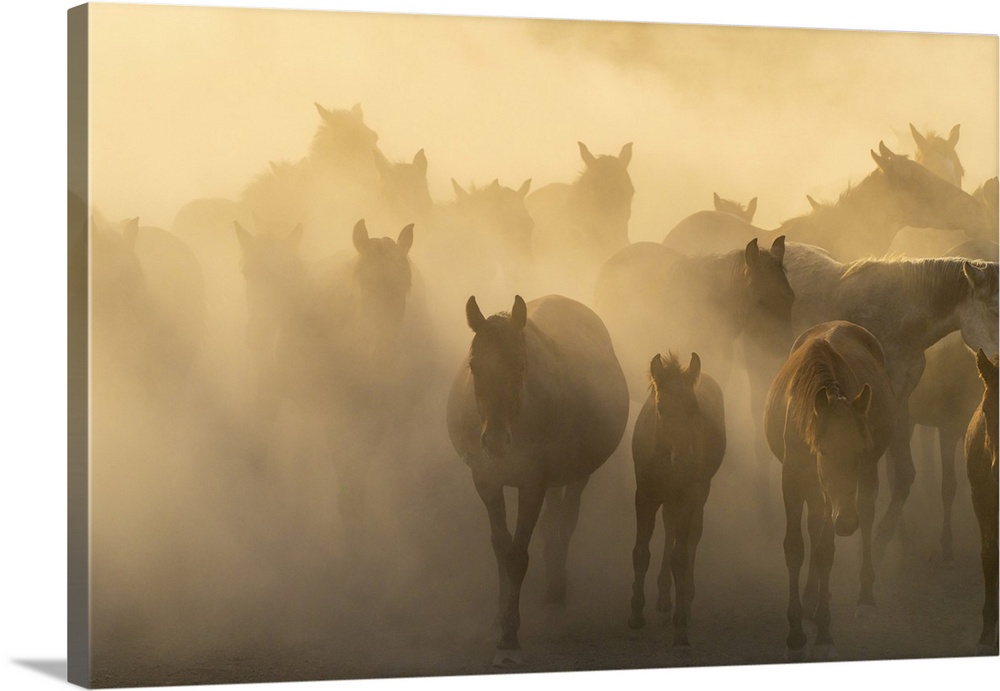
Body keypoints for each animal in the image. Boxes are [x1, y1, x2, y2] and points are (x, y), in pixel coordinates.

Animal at [447, 294, 629, 665]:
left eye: (520, 366)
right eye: (474, 366)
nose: (495, 442)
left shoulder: (532, 484)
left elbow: (518, 555)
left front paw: (510, 632)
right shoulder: (486, 482)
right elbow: (501, 547)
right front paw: (499, 615)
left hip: (577, 474)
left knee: (566, 522)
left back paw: (557, 591)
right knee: (552, 523)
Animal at [628, 352, 726, 648]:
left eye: (694, 408)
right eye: (661, 408)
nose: (685, 461)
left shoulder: (686, 498)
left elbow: (680, 559)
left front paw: (680, 627)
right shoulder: (645, 495)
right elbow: (641, 552)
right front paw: (635, 615)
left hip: (698, 496)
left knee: (692, 539)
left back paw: (687, 603)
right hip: (669, 499)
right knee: (670, 529)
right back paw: (663, 597)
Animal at [764, 321, 896, 661]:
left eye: (859, 450)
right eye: (823, 451)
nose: (846, 522)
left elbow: (825, 552)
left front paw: (824, 633)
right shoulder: (793, 480)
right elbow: (795, 547)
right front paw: (795, 636)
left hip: (859, 484)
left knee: (865, 515)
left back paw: (865, 598)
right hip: (817, 490)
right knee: (815, 527)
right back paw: (810, 598)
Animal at [781, 242, 999, 563]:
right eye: (995, 311)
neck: (898, 316)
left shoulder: (899, 402)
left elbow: (901, 473)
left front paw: (889, 536)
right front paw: (882, 538)